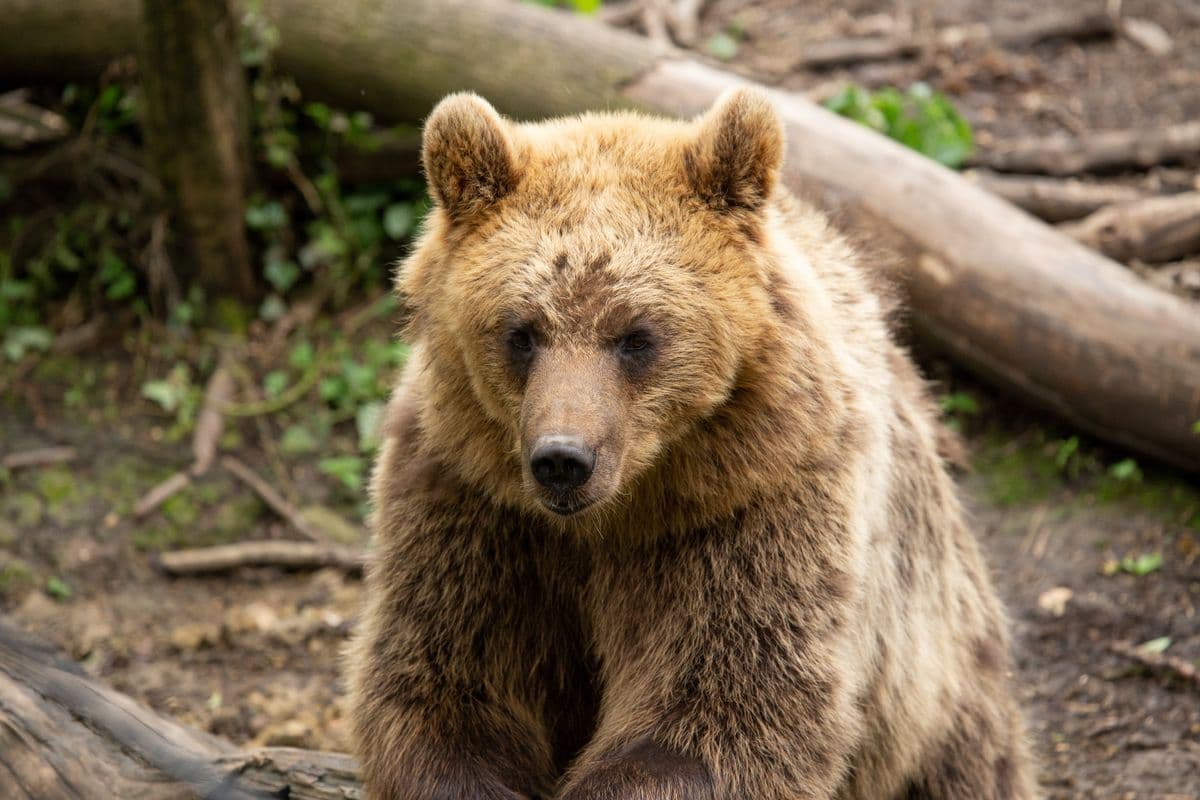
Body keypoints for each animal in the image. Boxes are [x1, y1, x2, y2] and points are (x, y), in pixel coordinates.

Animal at [346, 88, 1037, 800]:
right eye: (522, 331)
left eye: (636, 335)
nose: (563, 461)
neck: (614, 517)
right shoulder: (472, 502)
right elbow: (444, 680)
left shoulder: (751, 506)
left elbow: (722, 708)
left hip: (934, 664)